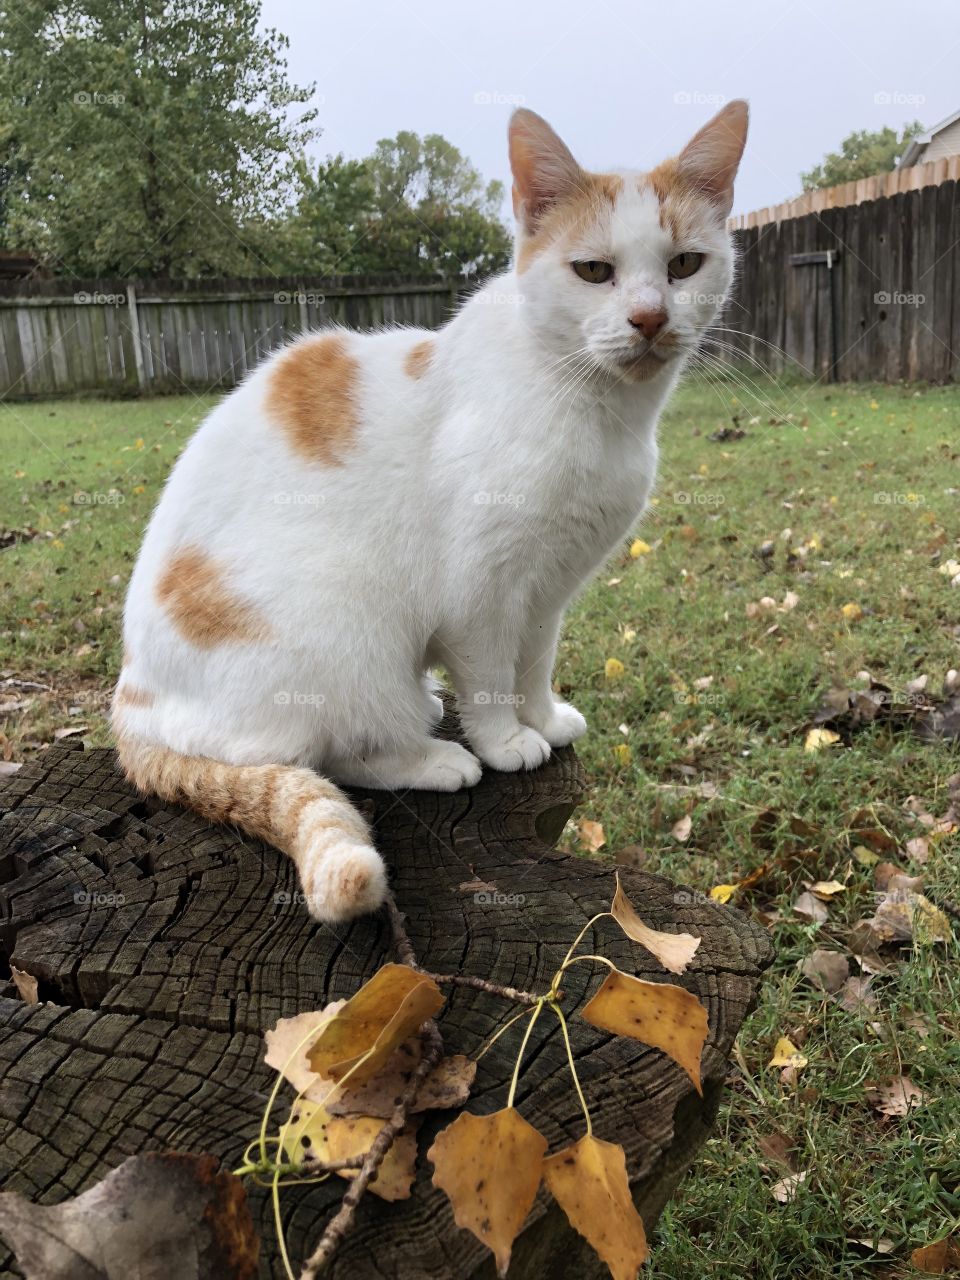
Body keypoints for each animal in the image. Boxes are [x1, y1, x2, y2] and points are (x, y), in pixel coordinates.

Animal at [114, 99, 752, 921]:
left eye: (683, 266)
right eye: (594, 271)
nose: (648, 318)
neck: (598, 409)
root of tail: (131, 704)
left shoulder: (547, 590)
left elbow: (534, 663)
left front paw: (544, 719)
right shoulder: (482, 591)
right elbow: (489, 676)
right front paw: (506, 741)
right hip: (345, 618)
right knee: (325, 753)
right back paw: (436, 757)